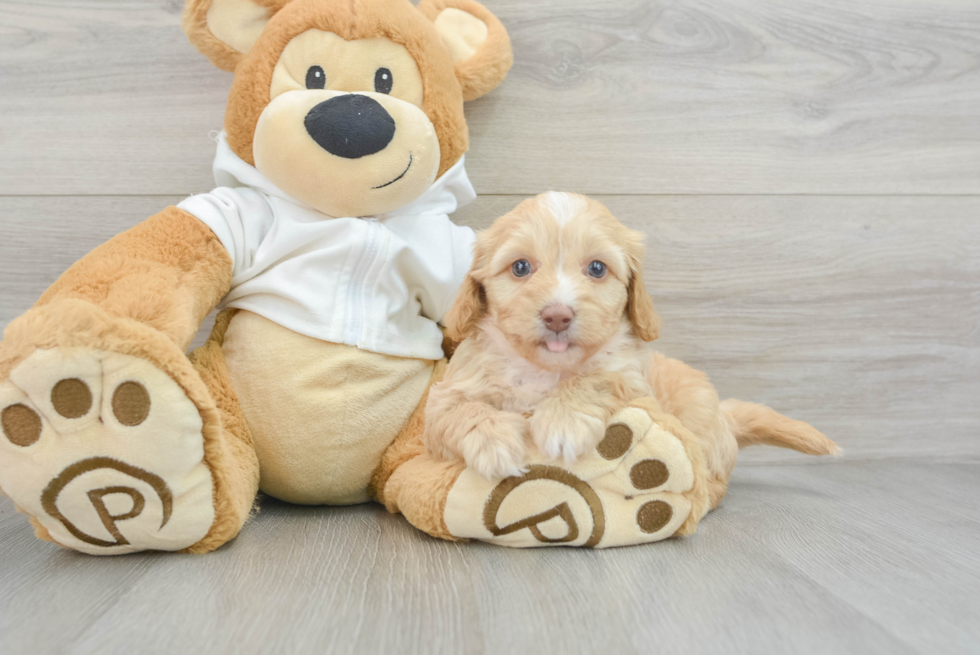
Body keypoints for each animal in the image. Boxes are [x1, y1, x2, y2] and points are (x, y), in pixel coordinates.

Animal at [424, 192, 840, 504]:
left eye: (596, 268)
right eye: (521, 267)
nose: (557, 316)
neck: (546, 371)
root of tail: (725, 416)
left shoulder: (632, 379)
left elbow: (596, 377)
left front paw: (563, 421)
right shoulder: (445, 397)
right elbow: (459, 410)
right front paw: (493, 442)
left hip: (701, 430)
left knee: (714, 473)